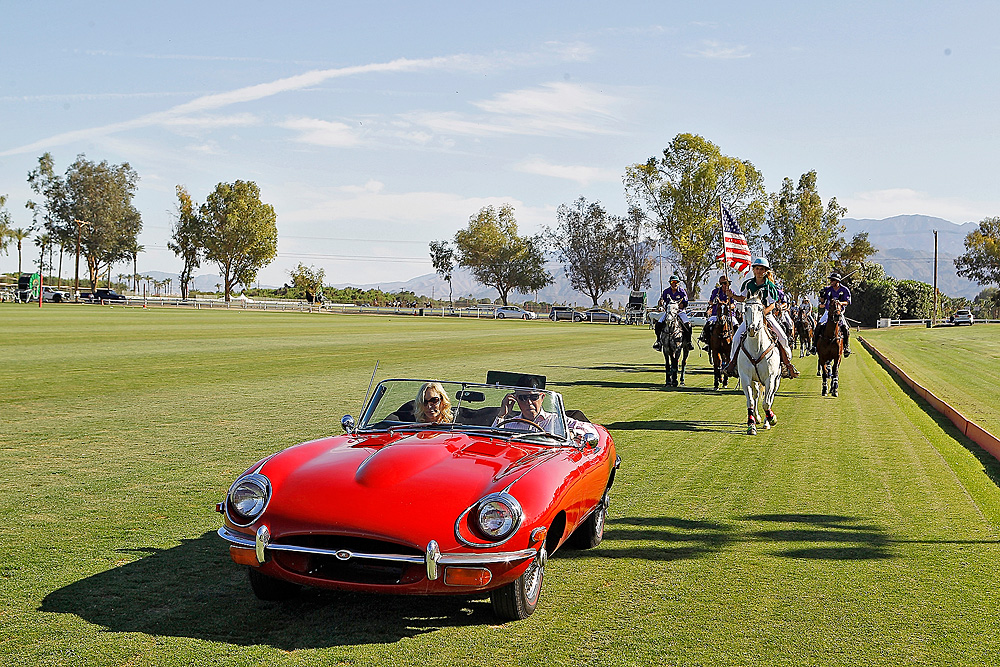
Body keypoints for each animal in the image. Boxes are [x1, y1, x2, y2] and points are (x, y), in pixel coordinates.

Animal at [736, 296, 780, 434]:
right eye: (745, 308)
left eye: (760, 308)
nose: (752, 329)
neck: (757, 348)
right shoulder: (746, 378)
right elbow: (750, 401)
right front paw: (751, 425)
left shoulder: (770, 378)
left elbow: (766, 403)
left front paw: (771, 419)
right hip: (755, 381)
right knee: (756, 395)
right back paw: (757, 417)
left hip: (776, 381)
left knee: (769, 398)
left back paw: (766, 421)